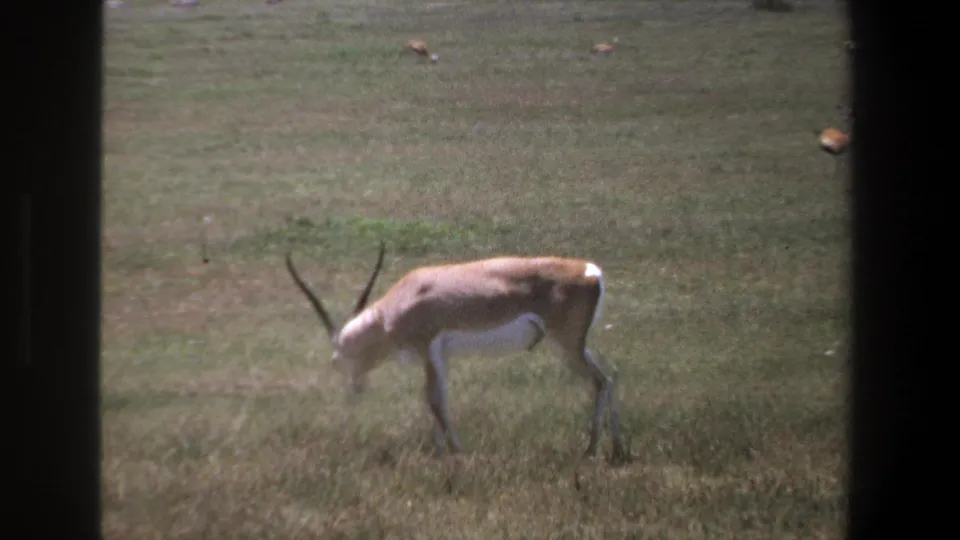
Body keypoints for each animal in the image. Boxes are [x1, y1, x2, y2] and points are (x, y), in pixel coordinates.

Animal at [285, 242, 627, 460]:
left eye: (338, 360)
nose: (354, 390)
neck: (401, 301)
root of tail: (590, 271)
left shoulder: (428, 349)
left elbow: (434, 400)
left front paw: (457, 451)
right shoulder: (441, 358)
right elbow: (440, 399)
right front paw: (440, 453)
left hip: (567, 345)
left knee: (600, 382)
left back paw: (591, 450)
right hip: (575, 346)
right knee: (610, 377)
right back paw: (617, 450)